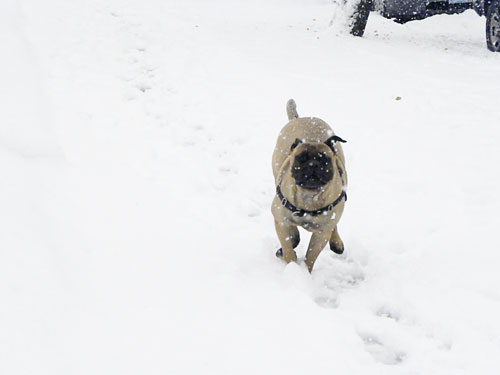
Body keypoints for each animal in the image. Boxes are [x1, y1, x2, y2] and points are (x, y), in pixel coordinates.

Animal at [270, 98, 348, 272]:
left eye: (324, 159)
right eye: (301, 158)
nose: (313, 164)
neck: (309, 196)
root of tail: (300, 118)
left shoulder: (322, 233)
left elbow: (311, 255)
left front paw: (305, 271)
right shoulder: (280, 218)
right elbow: (288, 244)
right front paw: (291, 264)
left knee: (335, 223)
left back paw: (336, 242)